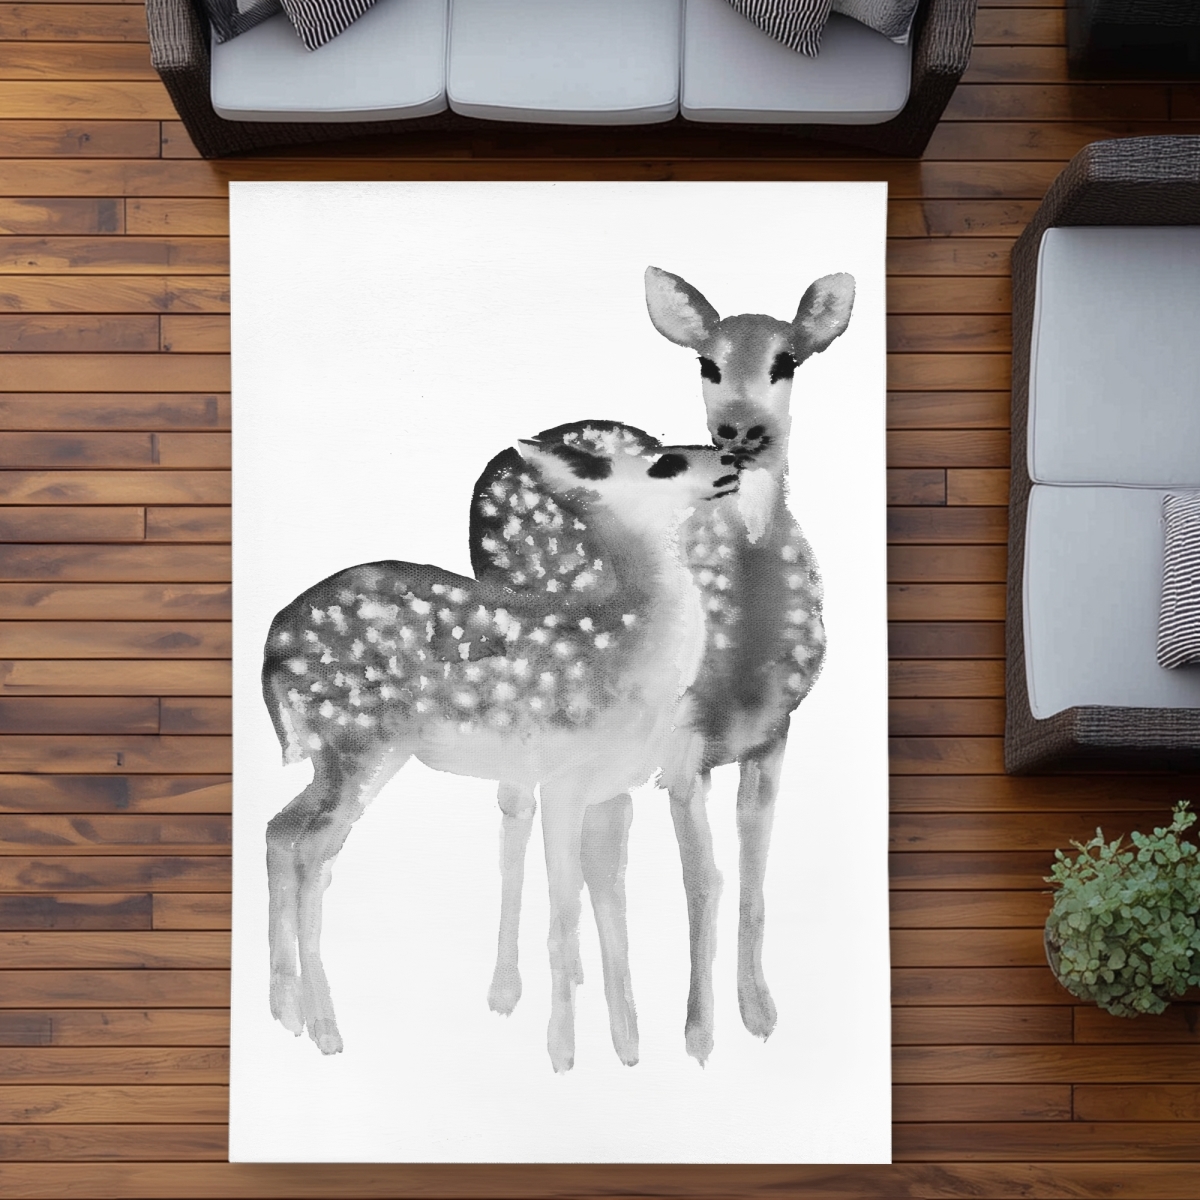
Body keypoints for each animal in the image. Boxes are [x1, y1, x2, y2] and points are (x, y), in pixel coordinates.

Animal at [261, 420, 740, 1072]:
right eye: (664, 463)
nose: (733, 462)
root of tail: (271, 652)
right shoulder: (564, 778)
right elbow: (564, 915)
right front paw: (562, 1055)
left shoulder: (609, 789)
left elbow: (610, 905)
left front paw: (628, 1049)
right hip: (362, 743)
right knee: (313, 852)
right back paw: (327, 1032)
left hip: (330, 758)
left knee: (279, 832)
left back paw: (285, 1015)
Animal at [471, 270, 855, 1065]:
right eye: (707, 363)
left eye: (787, 360)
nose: (737, 432)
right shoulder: (682, 746)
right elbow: (703, 881)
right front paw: (699, 1035)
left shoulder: (774, 736)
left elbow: (754, 871)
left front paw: (759, 1014)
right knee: (517, 801)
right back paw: (507, 992)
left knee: (596, 832)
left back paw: (589, 993)